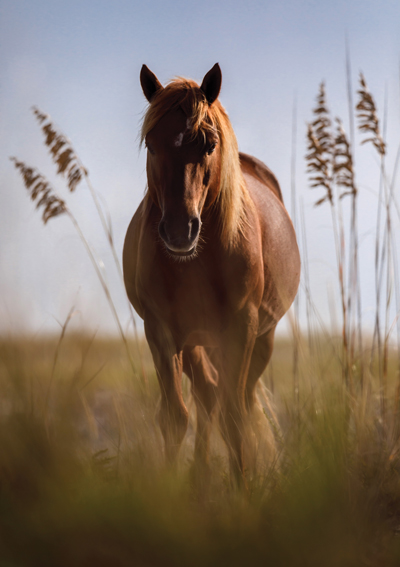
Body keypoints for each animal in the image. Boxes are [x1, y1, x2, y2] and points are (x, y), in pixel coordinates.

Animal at [122, 64, 300, 486]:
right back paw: (200, 476)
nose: (178, 230)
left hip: (260, 339)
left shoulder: (242, 327)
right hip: (195, 342)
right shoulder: (161, 331)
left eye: (208, 144)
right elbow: (175, 416)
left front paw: (245, 488)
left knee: (237, 401)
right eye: (151, 144)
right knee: (207, 398)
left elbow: (235, 417)